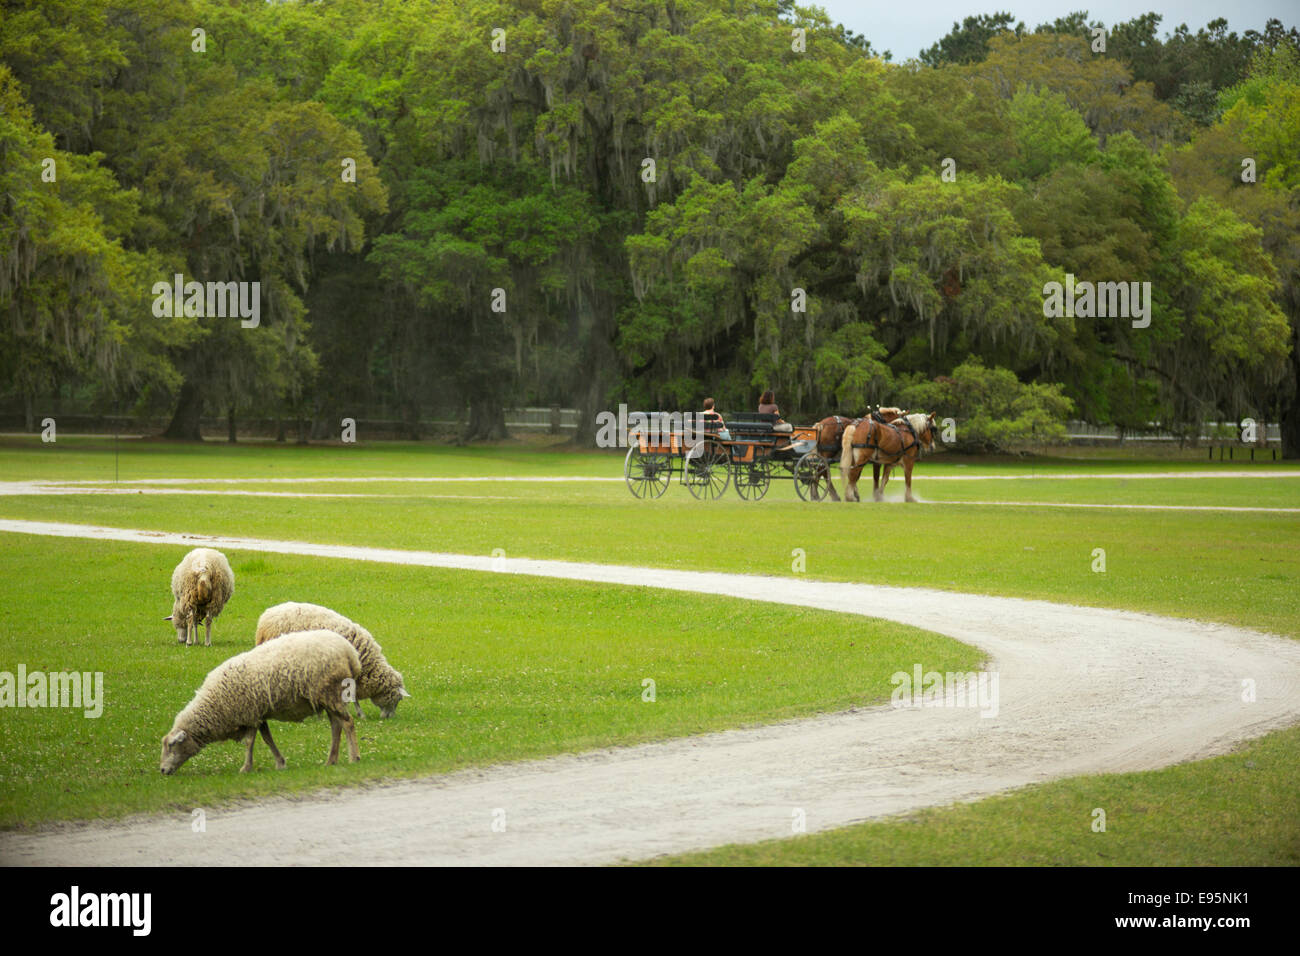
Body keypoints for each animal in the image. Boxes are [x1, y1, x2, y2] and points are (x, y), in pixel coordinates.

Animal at [158, 629, 361, 780]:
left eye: (172, 745)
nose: (162, 771)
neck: (214, 705)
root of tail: (350, 652)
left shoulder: (249, 714)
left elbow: (249, 742)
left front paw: (246, 768)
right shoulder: (258, 713)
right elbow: (267, 738)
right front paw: (280, 763)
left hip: (331, 693)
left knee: (348, 723)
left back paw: (354, 757)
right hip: (327, 698)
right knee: (336, 726)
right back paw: (331, 760)